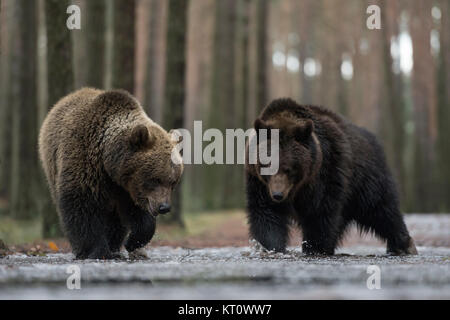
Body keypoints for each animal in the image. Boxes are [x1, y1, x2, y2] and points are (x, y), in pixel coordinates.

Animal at [38, 88, 183, 260]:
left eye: (173, 182)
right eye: (156, 179)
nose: (164, 207)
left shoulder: (128, 190)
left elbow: (138, 214)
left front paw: (133, 242)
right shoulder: (85, 166)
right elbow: (82, 207)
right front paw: (97, 250)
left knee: (115, 220)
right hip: (52, 166)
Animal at [246, 97, 418, 255]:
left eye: (289, 168)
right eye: (267, 165)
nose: (278, 195)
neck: (299, 186)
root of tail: (372, 139)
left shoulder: (325, 173)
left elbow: (320, 211)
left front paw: (315, 247)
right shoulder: (259, 183)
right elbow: (266, 214)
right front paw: (270, 247)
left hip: (365, 180)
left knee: (381, 209)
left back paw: (403, 245)